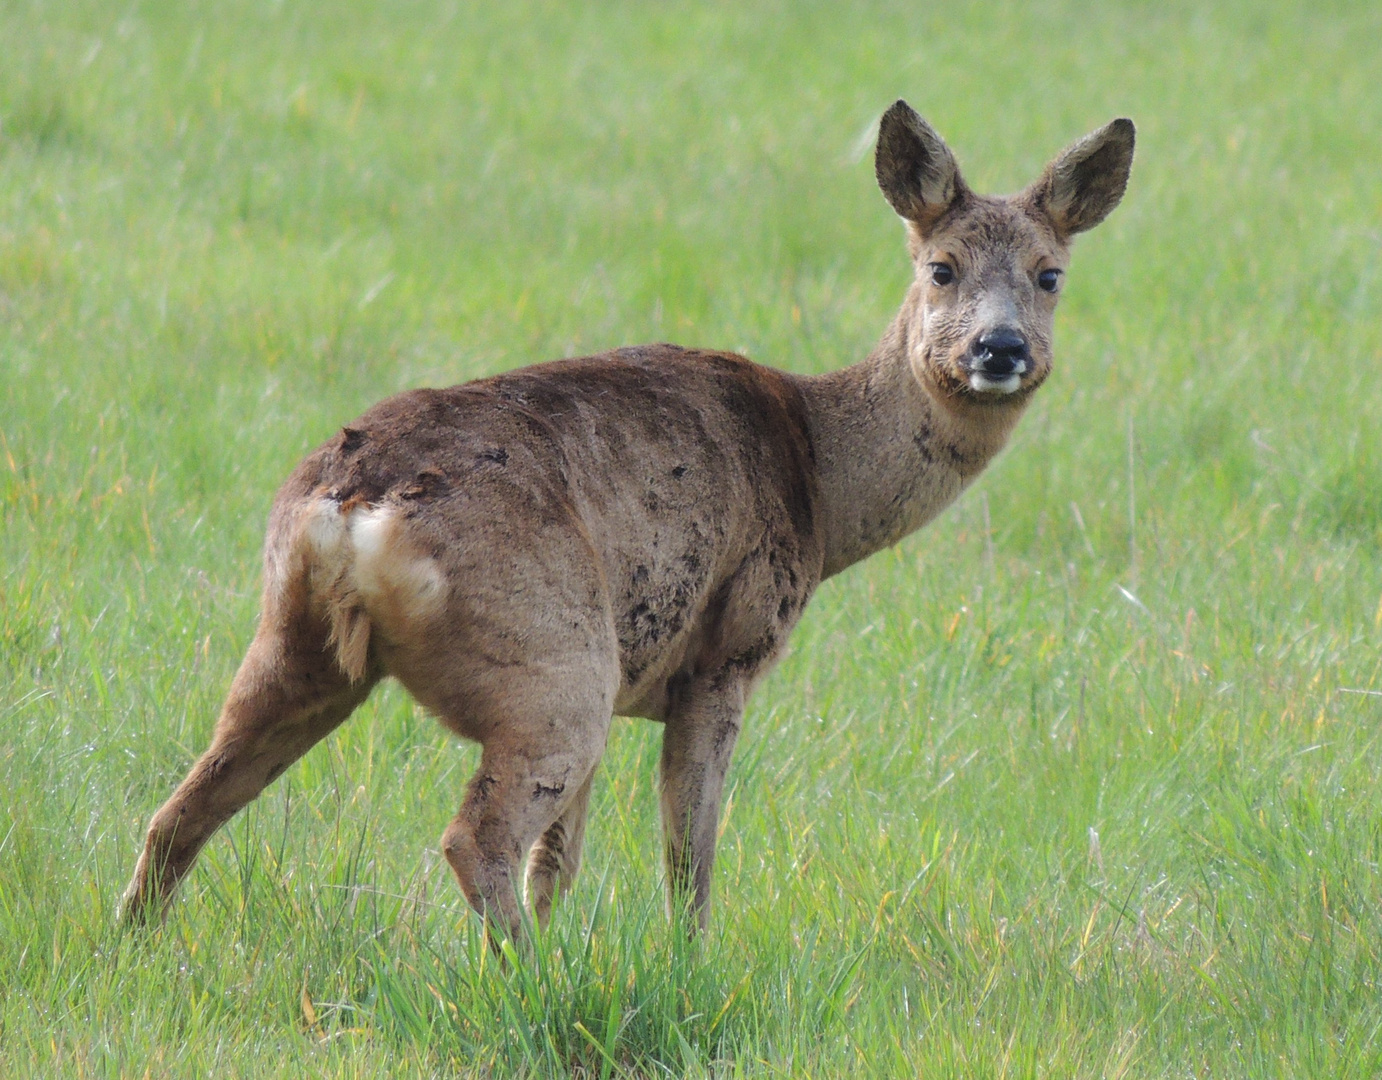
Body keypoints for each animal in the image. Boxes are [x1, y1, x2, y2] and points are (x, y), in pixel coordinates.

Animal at [121, 105, 1133, 940]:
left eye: (1050, 275)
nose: (999, 348)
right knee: (474, 836)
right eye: (940, 266)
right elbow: (690, 856)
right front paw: (691, 966)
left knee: (183, 807)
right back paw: (529, 985)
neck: (819, 470)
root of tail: (352, 508)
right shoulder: (725, 655)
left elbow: (561, 867)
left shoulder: (637, 681)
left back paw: (135, 945)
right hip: (553, 661)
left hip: (300, 646)